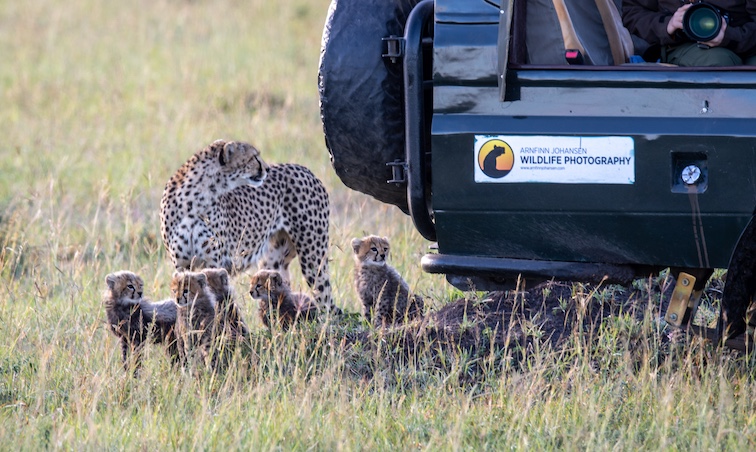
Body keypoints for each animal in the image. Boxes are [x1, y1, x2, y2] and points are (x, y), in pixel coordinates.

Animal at [159, 140, 334, 310]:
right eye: (253, 157)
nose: (267, 169)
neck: (194, 200)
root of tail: (303, 168)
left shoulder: (213, 263)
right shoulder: (182, 266)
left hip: (312, 256)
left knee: (326, 300)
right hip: (273, 261)